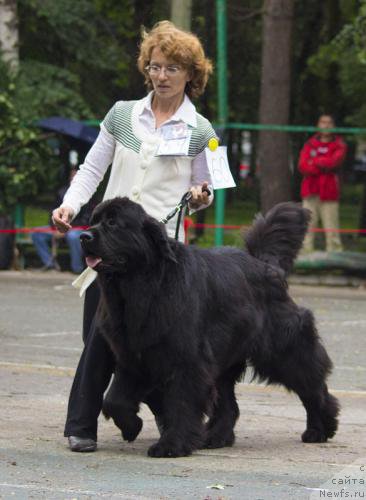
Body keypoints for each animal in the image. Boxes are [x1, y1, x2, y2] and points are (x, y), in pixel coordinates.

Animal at [81, 196, 340, 458]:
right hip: (224, 359)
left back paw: (319, 429)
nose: (84, 236)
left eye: (113, 223)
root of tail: (265, 265)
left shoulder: (187, 361)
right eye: (94, 220)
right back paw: (215, 437)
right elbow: (114, 400)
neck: (142, 286)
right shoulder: (133, 355)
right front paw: (132, 427)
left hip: (283, 350)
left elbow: (182, 403)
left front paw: (171, 445)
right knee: (229, 405)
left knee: (313, 387)